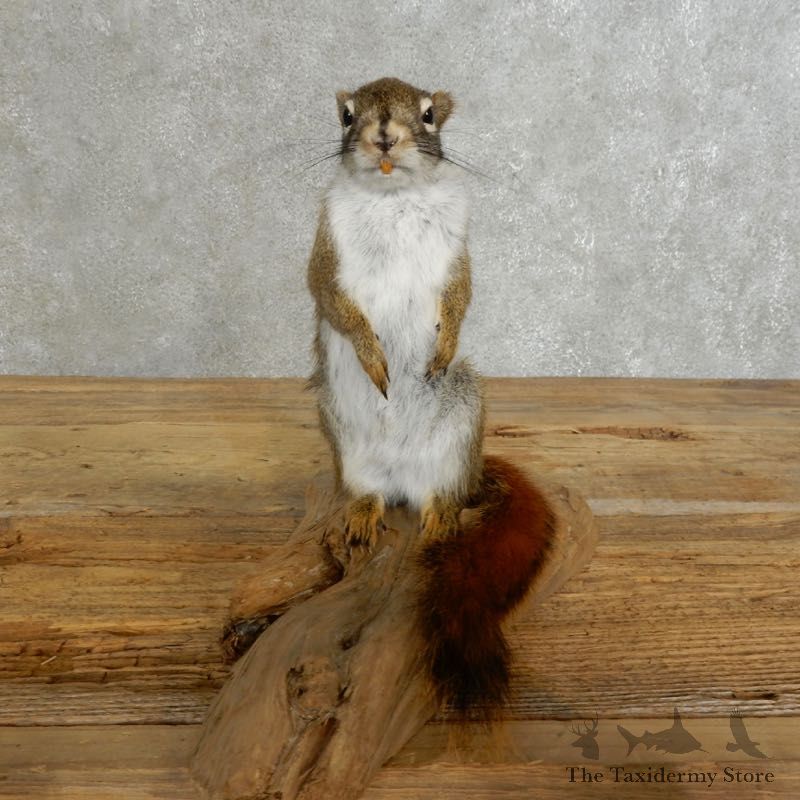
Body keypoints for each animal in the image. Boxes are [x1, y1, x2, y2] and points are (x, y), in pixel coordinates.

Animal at [307, 77, 553, 715]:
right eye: (347, 116)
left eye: (428, 116)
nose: (383, 137)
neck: (393, 197)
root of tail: (400, 478)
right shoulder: (325, 244)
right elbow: (328, 295)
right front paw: (372, 355)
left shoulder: (458, 246)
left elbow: (462, 294)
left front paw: (441, 349)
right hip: (345, 439)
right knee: (367, 490)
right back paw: (363, 512)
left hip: (459, 424)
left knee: (444, 494)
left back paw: (440, 516)